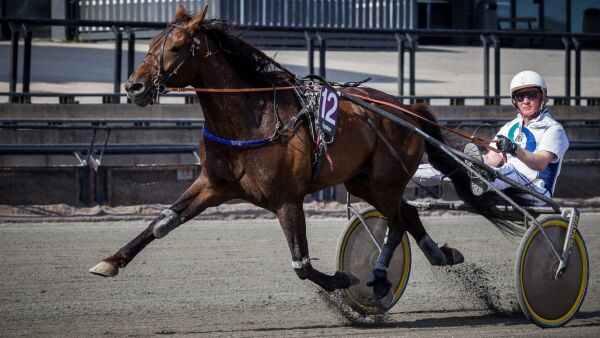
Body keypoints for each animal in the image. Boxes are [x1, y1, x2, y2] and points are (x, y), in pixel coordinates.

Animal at [89, 5, 510, 298]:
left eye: (176, 47)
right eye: (149, 44)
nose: (134, 87)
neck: (250, 118)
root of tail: (409, 110)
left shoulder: (287, 199)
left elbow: (302, 264)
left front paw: (342, 278)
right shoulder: (213, 185)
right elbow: (162, 222)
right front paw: (109, 262)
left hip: (386, 178)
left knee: (396, 220)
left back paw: (380, 276)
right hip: (361, 182)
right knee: (406, 213)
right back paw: (436, 256)